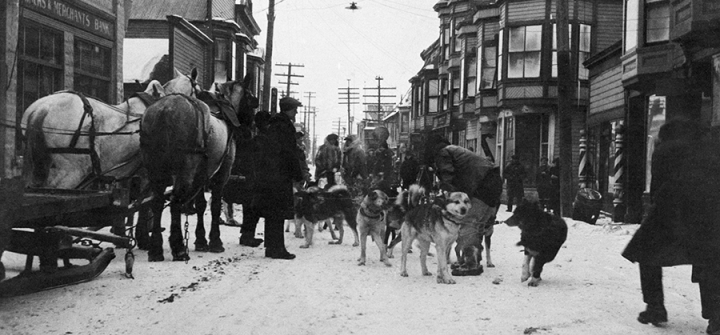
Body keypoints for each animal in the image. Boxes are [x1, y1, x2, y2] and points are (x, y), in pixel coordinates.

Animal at [139, 75, 258, 262]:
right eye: (251, 100)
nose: (250, 132)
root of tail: (164, 109)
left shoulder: (202, 175)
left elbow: (201, 204)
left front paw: (201, 240)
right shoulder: (222, 173)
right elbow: (215, 205)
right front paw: (215, 241)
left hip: (155, 170)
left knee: (157, 202)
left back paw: (156, 249)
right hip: (184, 170)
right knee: (175, 201)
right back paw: (179, 247)